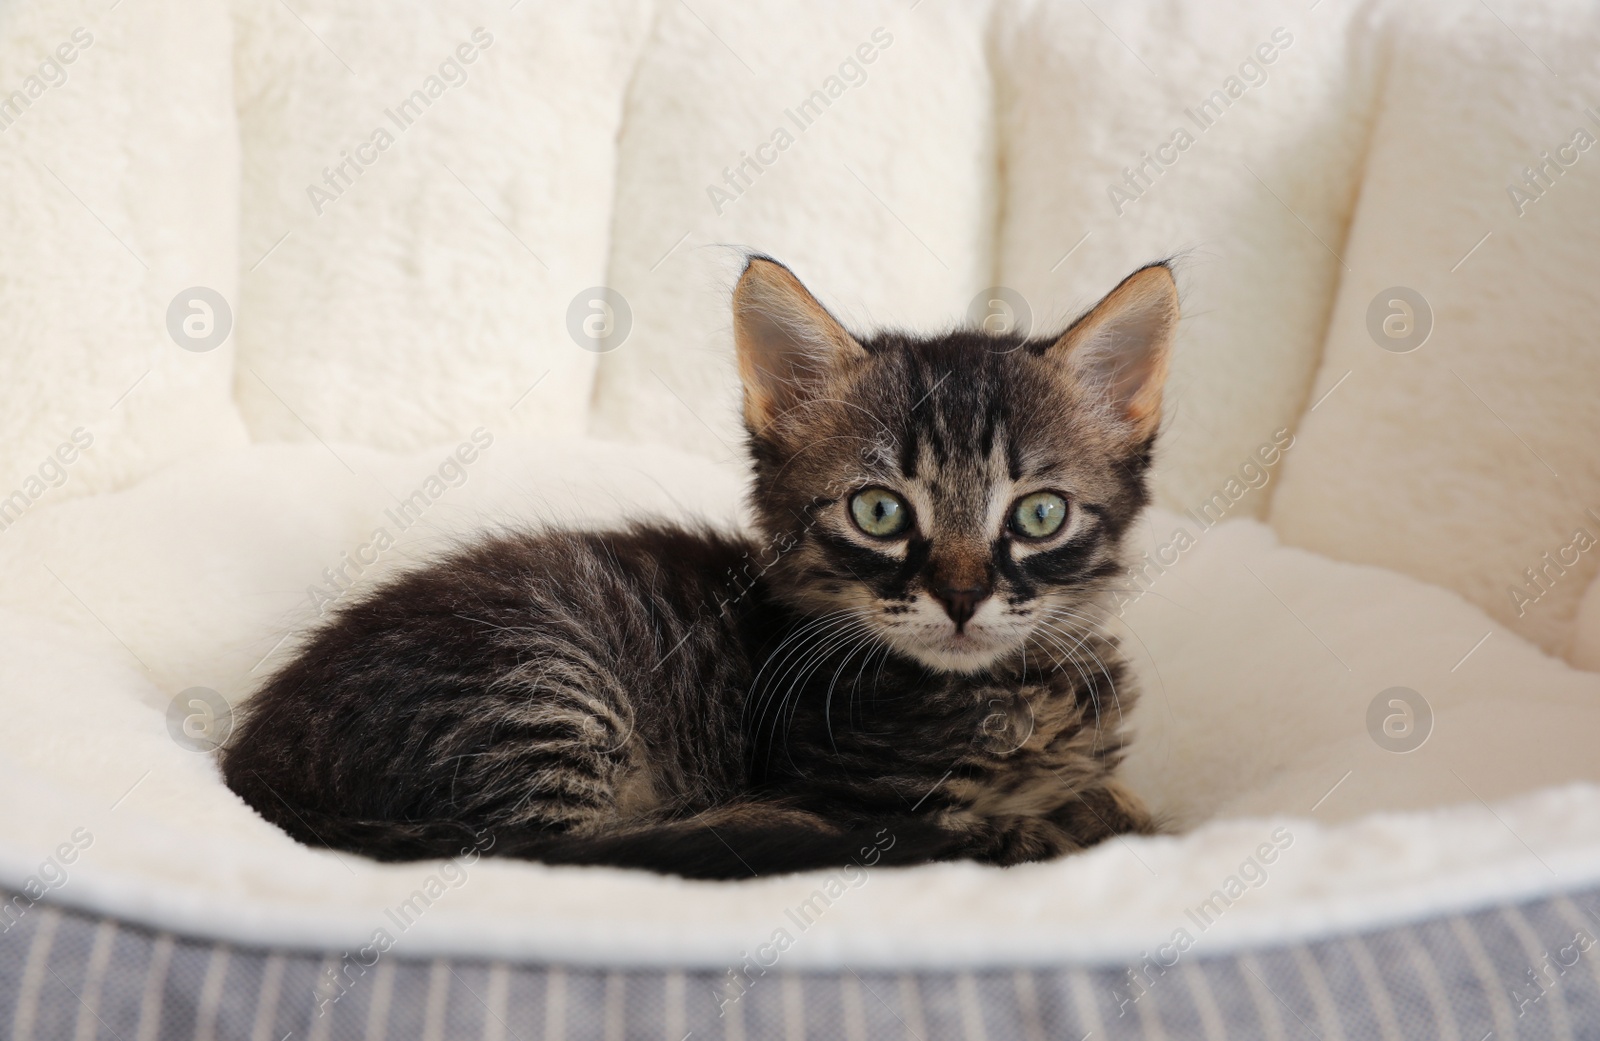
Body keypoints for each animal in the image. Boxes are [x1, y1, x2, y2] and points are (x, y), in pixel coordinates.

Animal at [222, 259, 1177, 882]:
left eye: (1039, 514)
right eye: (879, 511)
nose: (964, 597)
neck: (1000, 693)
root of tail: (259, 770)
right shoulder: (849, 791)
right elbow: (1017, 821)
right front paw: (1056, 823)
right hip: (543, 681)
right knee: (559, 851)